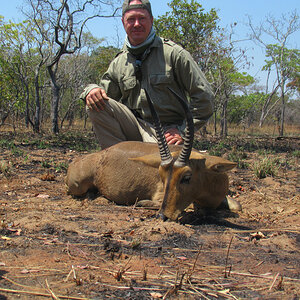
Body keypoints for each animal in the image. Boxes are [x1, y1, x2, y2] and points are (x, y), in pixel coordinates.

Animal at [65, 88, 239, 220]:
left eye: (187, 177)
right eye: (161, 176)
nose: (163, 216)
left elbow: (237, 206)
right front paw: (142, 203)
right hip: (78, 186)